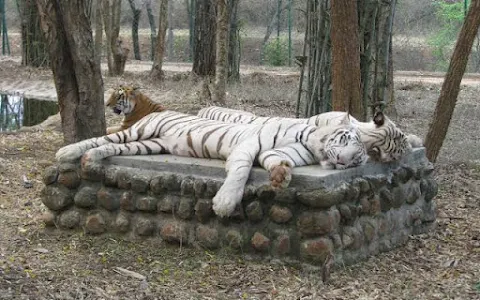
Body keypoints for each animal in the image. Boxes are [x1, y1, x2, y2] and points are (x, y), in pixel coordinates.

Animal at [56, 109, 368, 216]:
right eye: (345, 140)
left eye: (357, 160)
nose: (343, 162)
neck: (311, 145)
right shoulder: (248, 147)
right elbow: (240, 172)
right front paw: (225, 203)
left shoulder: (277, 154)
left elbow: (277, 161)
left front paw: (281, 177)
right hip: (139, 132)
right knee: (98, 139)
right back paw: (67, 152)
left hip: (149, 145)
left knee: (110, 146)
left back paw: (89, 160)